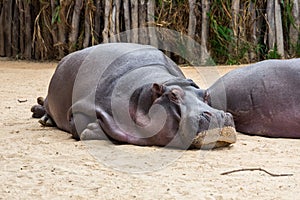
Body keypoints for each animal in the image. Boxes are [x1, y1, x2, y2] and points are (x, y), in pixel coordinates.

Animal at [31, 43, 237, 149]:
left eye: (205, 94)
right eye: (173, 96)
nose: (218, 115)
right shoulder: (82, 106)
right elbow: (80, 125)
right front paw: (90, 129)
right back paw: (43, 118)